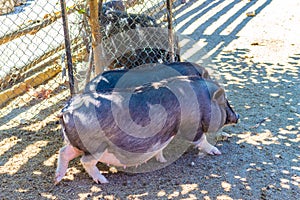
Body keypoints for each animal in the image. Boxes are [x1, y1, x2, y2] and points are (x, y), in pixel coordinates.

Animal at [55, 63, 239, 184]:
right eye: (224, 102)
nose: (237, 116)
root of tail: (67, 110)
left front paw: (162, 160)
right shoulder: (190, 126)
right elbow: (201, 140)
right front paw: (217, 152)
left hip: (77, 144)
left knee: (64, 152)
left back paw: (57, 179)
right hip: (96, 146)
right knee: (85, 161)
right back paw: (103, 180)